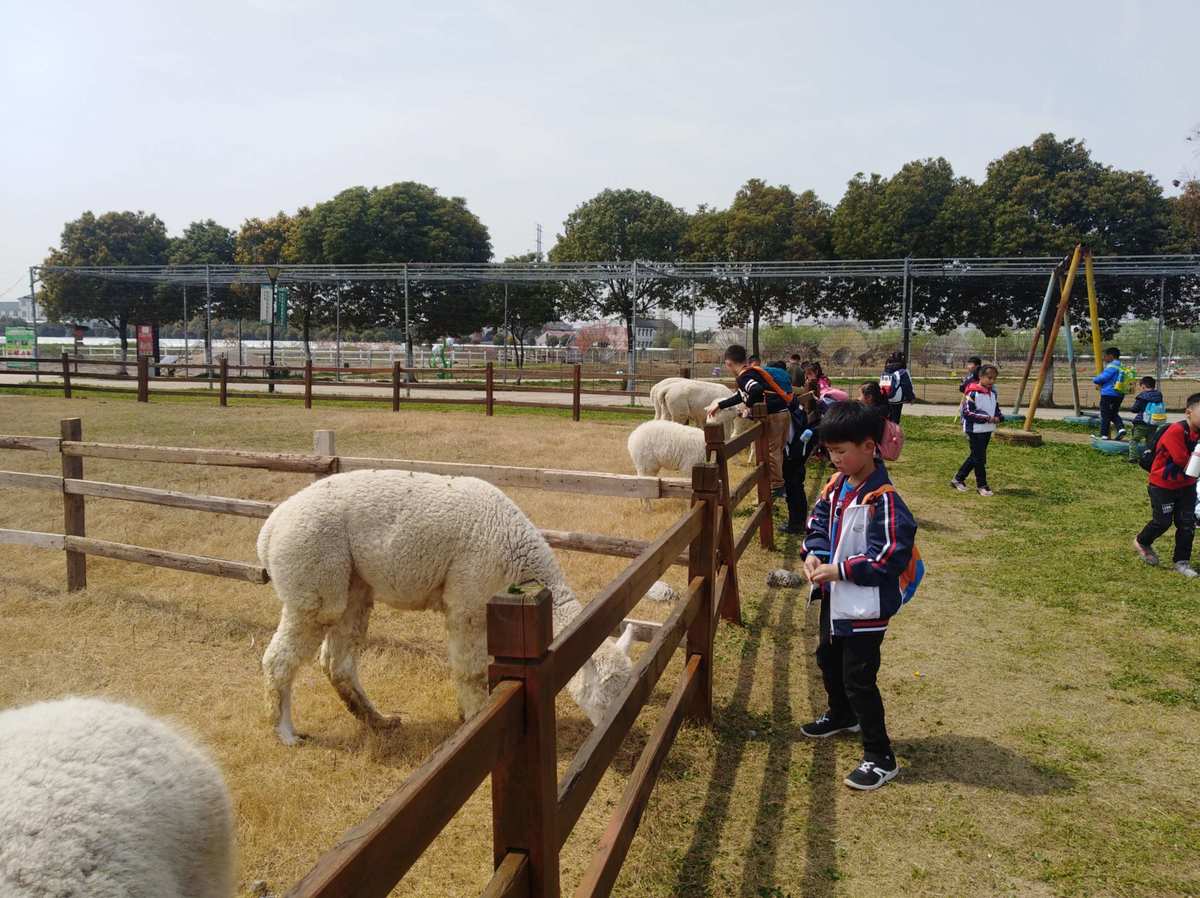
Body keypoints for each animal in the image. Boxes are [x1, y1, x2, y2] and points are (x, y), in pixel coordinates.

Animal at [259, 470, 638, 744]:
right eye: (606, 695)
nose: (619, 733)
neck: (515, 556)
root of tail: (271, 526)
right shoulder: (467, 599)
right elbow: (472, 671)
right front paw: (476, 721)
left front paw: (464, 713)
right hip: (314, 573)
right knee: (280, 657)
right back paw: (286, 734)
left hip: (353, 585)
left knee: (337, 662)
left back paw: (380, 722)